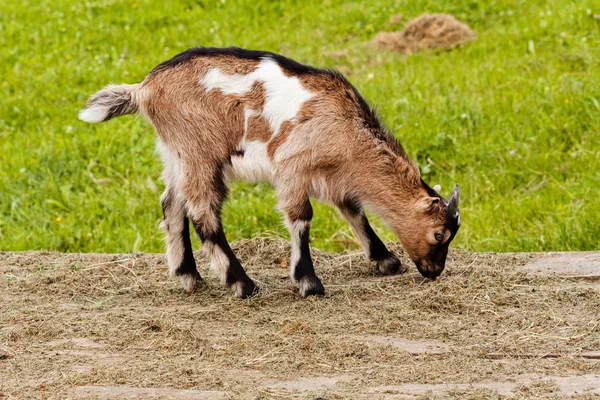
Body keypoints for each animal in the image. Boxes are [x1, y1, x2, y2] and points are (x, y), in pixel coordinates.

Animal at [76, 46, 460, 296]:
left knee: (171, 204)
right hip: (201, 152)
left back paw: (189, 277)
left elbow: (354, 211)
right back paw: (242, 284)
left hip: (175, 153)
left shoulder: (333, 177)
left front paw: (385, 261)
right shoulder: (293, 166)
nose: (434, 271)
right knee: (203, 214)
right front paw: (308, 282)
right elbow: (301, 218)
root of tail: (144, 89)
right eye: (439, 234)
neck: (346, 127)